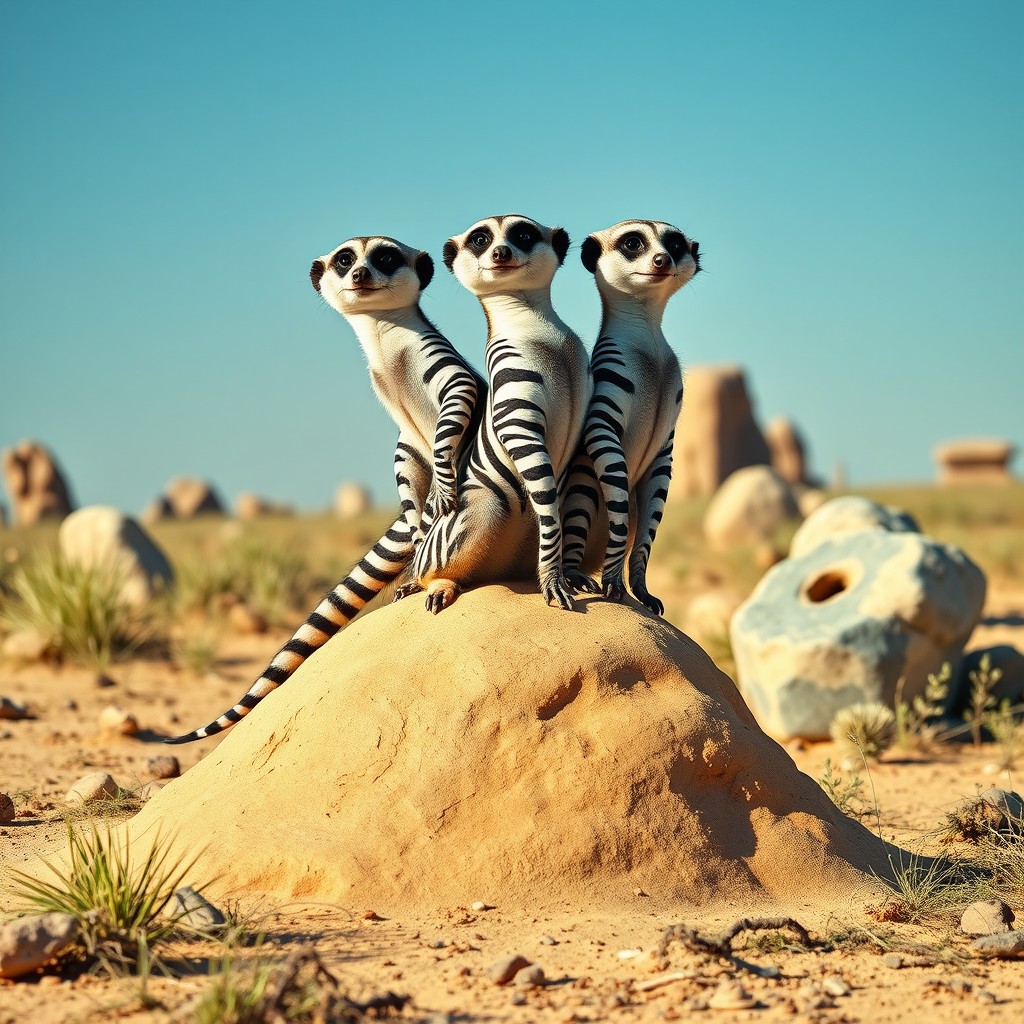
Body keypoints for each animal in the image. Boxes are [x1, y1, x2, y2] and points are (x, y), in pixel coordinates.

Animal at [167, 235, 483, 743]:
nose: (360, 275)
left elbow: (456, 406)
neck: (384, 341)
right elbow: (407, 460)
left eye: (385, 257)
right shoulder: (402, 435)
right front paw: (416, 513)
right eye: (345, 259)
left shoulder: (446, 370)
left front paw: (441, 483)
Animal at [561, 219, 701, 614]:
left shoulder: (667, 444)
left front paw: (642, 589)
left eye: (675, 243)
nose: (662, 259)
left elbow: (650, 521)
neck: (649, 346)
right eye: (633, 243)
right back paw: (575, 574)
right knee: (580, 509)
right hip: (581, 486)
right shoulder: (607, 391)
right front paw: (613, 583)